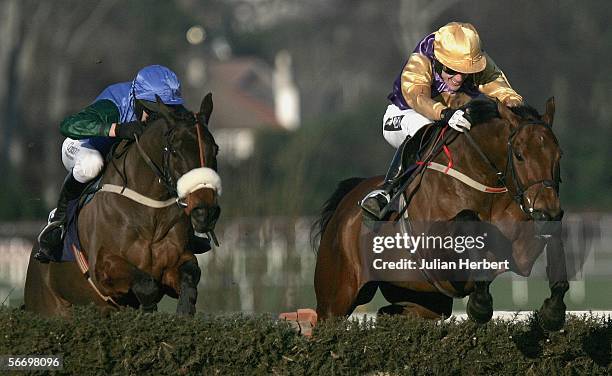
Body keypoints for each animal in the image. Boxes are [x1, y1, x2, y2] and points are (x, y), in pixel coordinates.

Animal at [26, 93, 224, 314]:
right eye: (174, 151)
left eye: (215, 149)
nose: (204, 211)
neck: (150, 215)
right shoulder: (104, 267)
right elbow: (146, 285)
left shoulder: (175, 262)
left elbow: (190, 275)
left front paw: (184, 310)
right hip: (48, 306)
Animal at [316, 98, 568, 330]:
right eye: (519, 155)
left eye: (559, 155)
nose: (547, 211)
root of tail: (345, 205)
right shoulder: (433, 249)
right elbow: (467, 219)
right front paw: (480, 303)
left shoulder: (520, 253)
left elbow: (553, 240)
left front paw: (553, 312)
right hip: (336, 298)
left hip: (423, 300)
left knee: (389, 314)